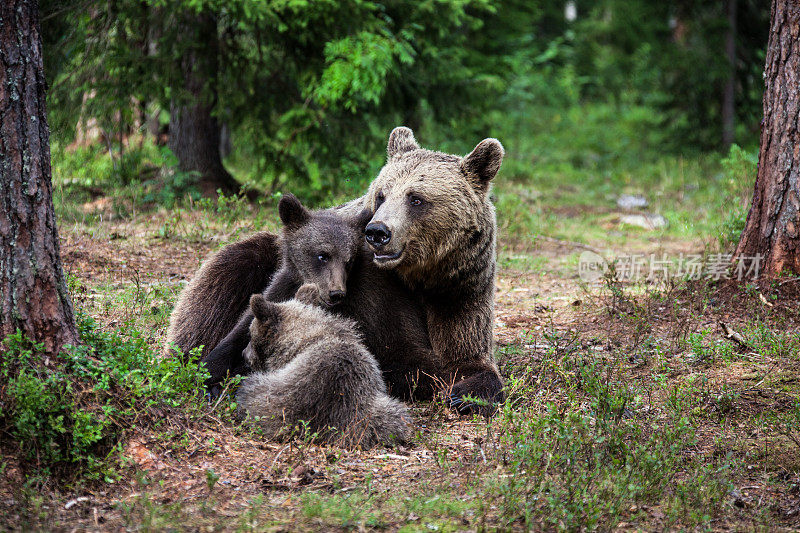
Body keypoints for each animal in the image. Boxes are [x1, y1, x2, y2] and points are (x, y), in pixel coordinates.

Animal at [167, 127, 506, 414]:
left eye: (416, 198)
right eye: (381, 194)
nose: (377, 232)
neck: (419, 277)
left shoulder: (459, 289)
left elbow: (469, 356)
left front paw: (467, 392)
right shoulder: (373, 291)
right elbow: (399, 354)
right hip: (257, 260)